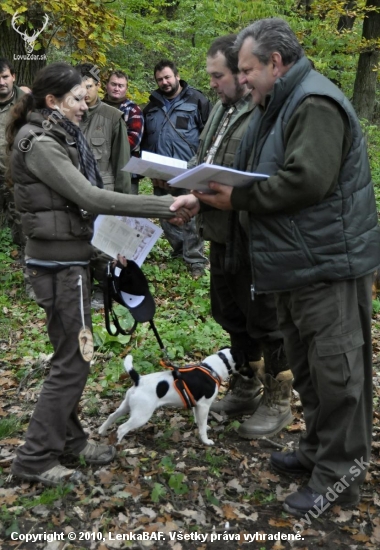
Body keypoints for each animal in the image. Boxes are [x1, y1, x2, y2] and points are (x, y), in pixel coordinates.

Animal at [98, 352, 252, 446]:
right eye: (247, 363)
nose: (252, 374)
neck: (211, 368)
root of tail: (138, 380)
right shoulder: (204, 406)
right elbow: (202, 425)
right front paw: (205, 440)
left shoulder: (197, 405)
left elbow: (199, 420)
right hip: (141, 416)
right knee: (122, 428)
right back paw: (118, 444)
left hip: (126, 406)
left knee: (112, 416)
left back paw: (102, 431)